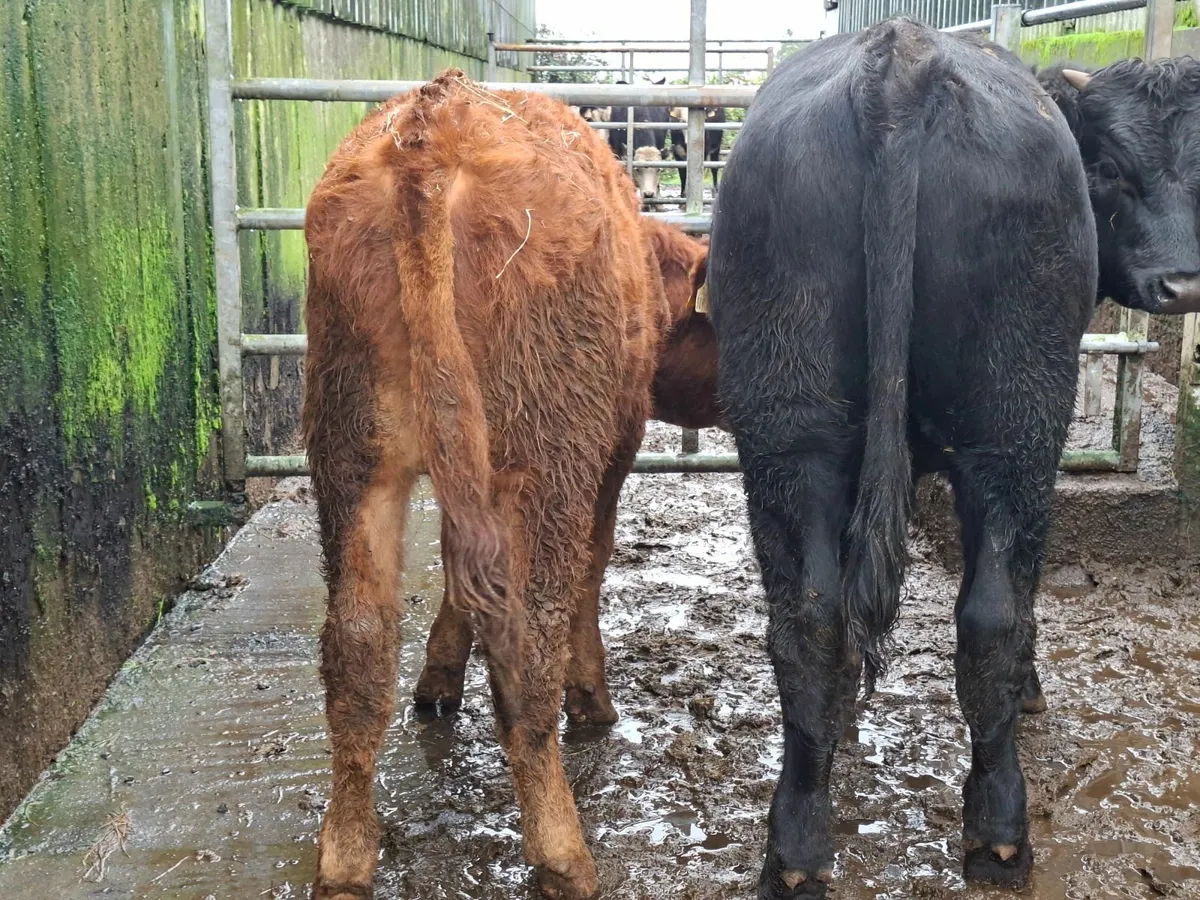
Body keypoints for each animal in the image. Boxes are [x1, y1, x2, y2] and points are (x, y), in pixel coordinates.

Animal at [708, 19, 1096, 897]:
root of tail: (905, 53)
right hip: (1016, 425)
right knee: (995, 616)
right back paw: (997, 834)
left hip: (803, 428)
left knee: (821, 618)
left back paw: (803, 846)